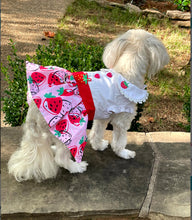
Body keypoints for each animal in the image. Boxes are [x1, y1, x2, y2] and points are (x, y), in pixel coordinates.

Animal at [7, 29, 170, 181]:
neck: (126, 72)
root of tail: (34, 107)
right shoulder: (122, 120)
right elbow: (119, 140)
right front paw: (124, 153)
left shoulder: (103, 116)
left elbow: (97, 132)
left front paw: (99, 146)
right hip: (70, 128)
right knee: (61, 157)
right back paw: (76, 167)